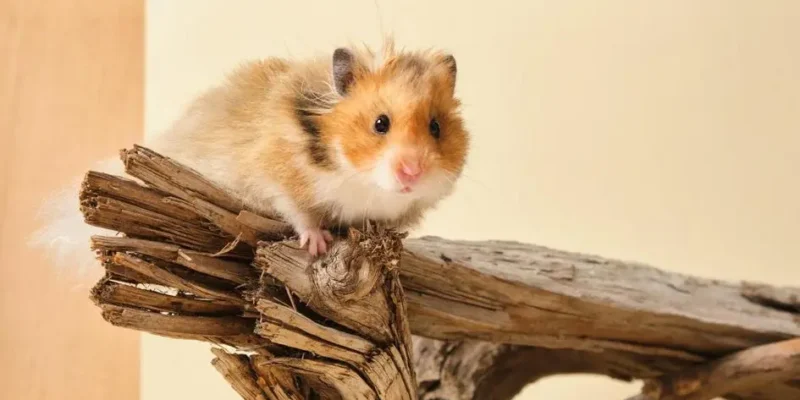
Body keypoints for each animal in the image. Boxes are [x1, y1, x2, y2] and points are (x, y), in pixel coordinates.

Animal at [31, 39, 470, 265]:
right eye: (380, 123)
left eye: (436, 127)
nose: (411, 173)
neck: (360, 181)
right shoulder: (276, 175)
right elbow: (299, 212)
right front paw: (318, 244)